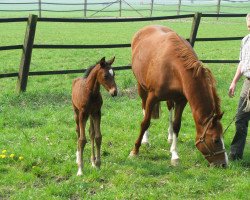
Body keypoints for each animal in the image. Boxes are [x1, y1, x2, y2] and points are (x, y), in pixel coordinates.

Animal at [131, 25, 229, 167]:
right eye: (216, 140)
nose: (224, 164)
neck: (173, 67)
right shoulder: (152, 97)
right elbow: (145, 122)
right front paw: (135, 150)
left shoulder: (181, 100)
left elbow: (177, 124)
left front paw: (174, 154)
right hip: (141, 87)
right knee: (144, 108)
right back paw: (146, 139)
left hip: (170, 98)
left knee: (170, 110)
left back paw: (170, 136)